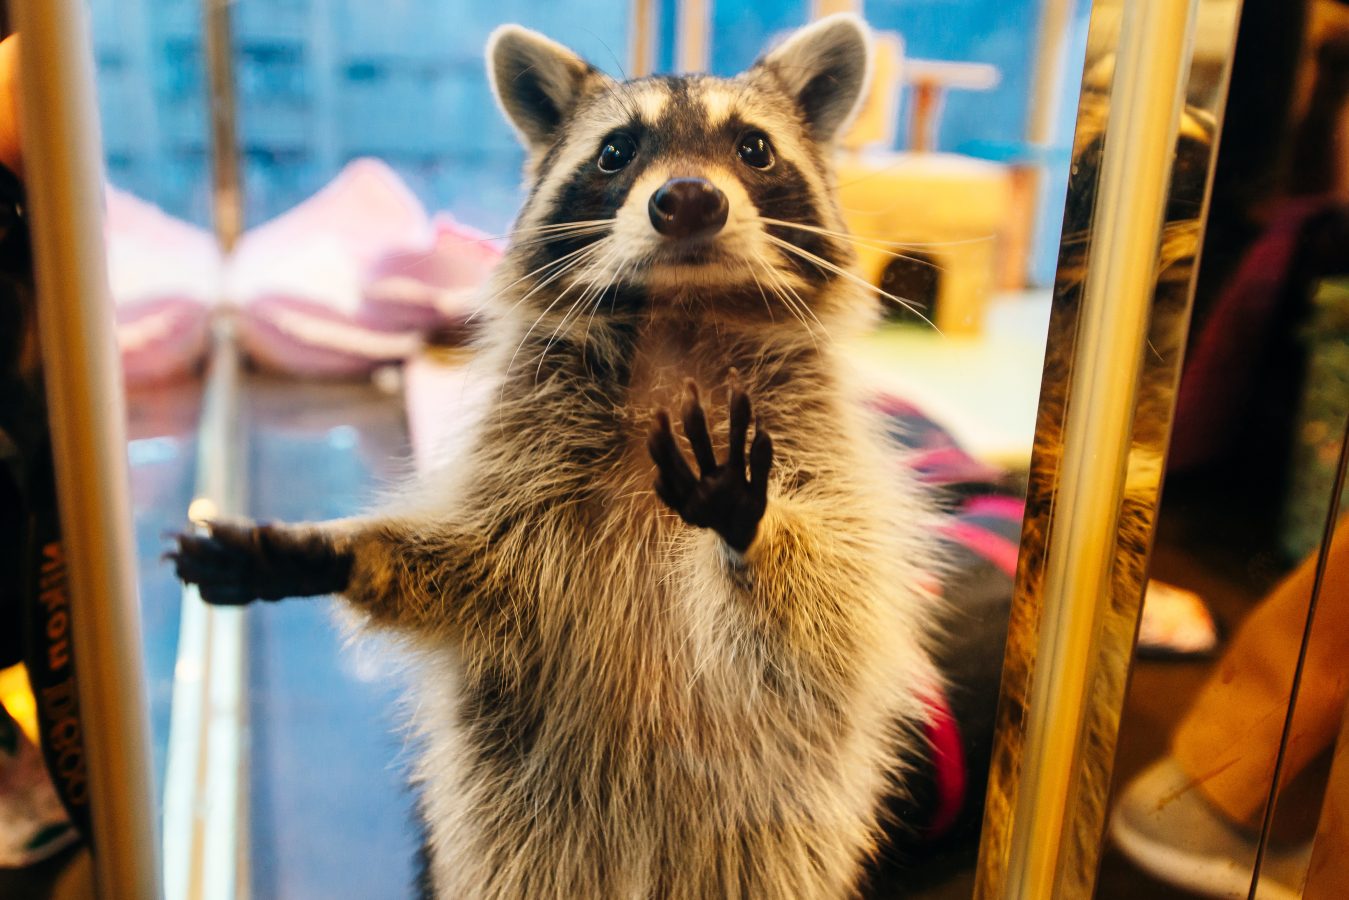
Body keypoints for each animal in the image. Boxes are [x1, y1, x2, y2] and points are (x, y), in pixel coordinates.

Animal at [171, 15, 938, 900]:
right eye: (615, 152)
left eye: (753, 148)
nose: (687, 199)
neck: (680, 317)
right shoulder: (530, 447)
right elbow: (476, 569)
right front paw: (339, 551)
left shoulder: (822, 447)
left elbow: (834, 600)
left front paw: (753, 524)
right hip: (527, 829)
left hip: (765, 842)